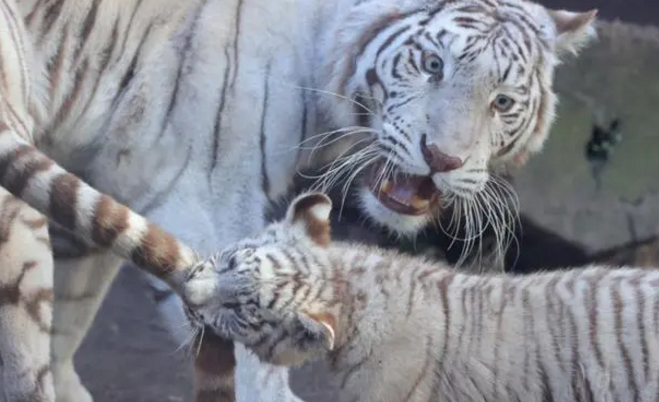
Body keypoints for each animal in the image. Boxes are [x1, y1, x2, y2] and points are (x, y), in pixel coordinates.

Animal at [0, 0, 597, 401]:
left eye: (502, 102)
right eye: (433, 65)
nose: (442, 157)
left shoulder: (105, 175)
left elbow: (72, 311)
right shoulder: (204, 198)